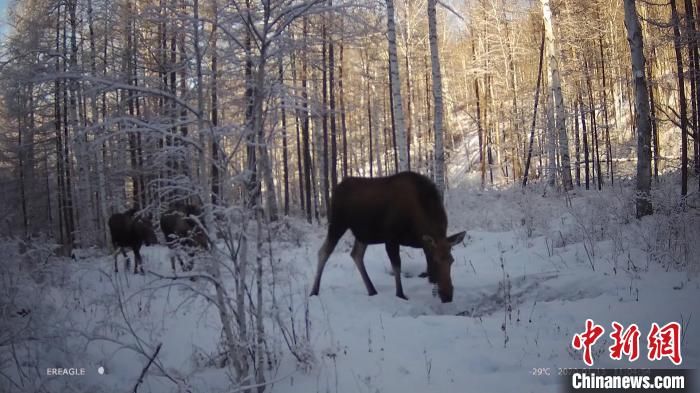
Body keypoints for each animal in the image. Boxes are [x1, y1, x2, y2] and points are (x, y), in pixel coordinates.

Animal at [310, 170, 464, 302]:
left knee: (356, 254)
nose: (448, 295)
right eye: (436, 260)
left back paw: (372, 290)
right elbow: (397, 267)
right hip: (337, 223)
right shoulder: (391, 239)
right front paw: (400, 294)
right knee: (324, 252)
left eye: (452, 260)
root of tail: (336, 189)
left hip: (363, 234)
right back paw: (314, 291)